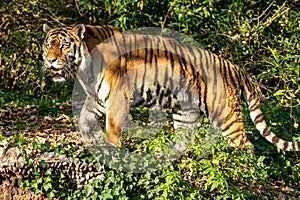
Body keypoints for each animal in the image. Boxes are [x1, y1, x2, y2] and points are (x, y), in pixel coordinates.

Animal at [42, 23, 300, 152]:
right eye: (48, 45)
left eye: (64, 45)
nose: (50, 60)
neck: (83, 66)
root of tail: (234, 66)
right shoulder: (98, 97)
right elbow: (83, 120)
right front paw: (89, 143)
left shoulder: (117, 97)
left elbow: (112, 129)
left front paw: (111, 152)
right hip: (185, 114)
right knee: (184, 141)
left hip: (226, 115)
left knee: (246, 146)